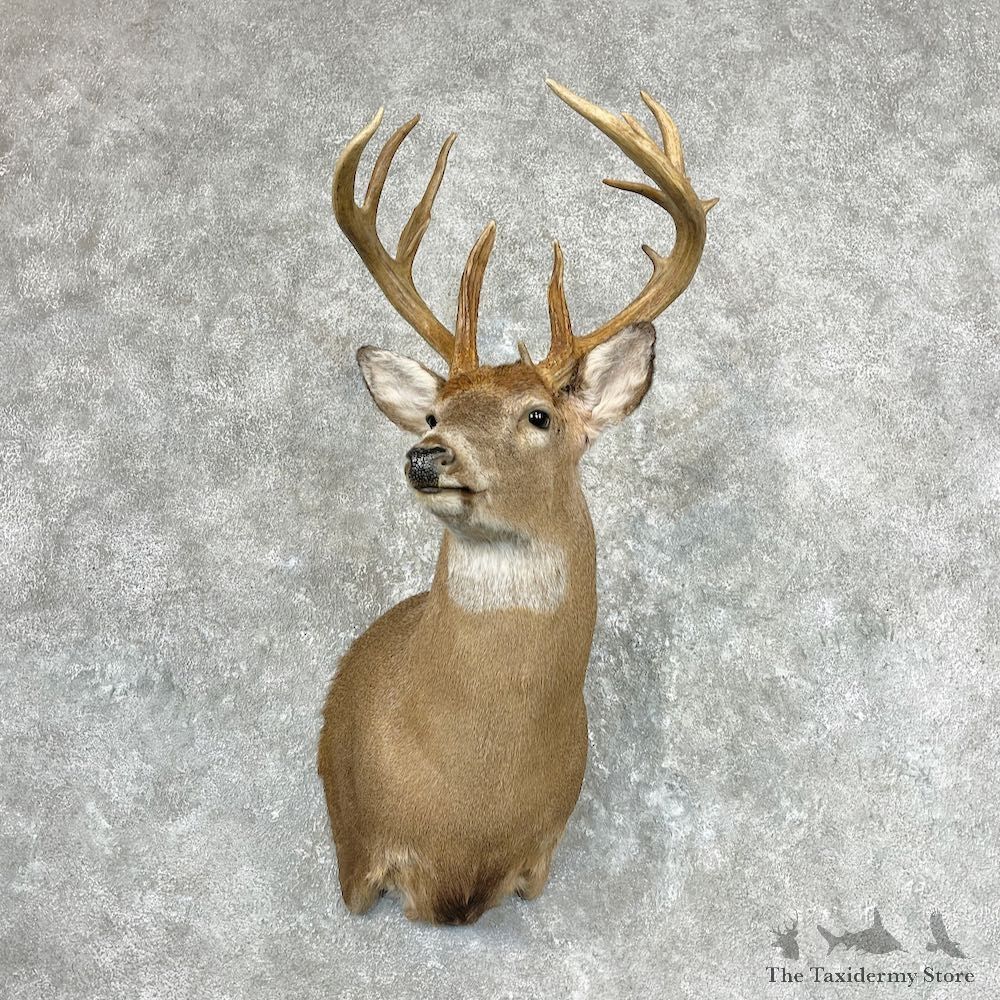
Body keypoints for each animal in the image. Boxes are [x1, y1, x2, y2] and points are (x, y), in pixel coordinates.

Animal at [317, 79, 716, 925]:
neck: (471, 803)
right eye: (434, 414)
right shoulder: (359, 853)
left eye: (538, 416)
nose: (426, 456)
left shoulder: (538, 857)